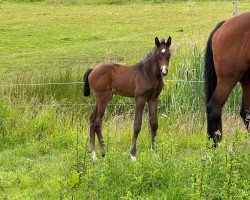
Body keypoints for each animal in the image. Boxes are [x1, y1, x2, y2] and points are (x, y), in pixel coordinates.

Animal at [205, 12, 250, 147]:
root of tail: (224, 24)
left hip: (247, 79)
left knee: (246, 112)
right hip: (227, 80)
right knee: (214, 108)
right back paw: (214, 145)